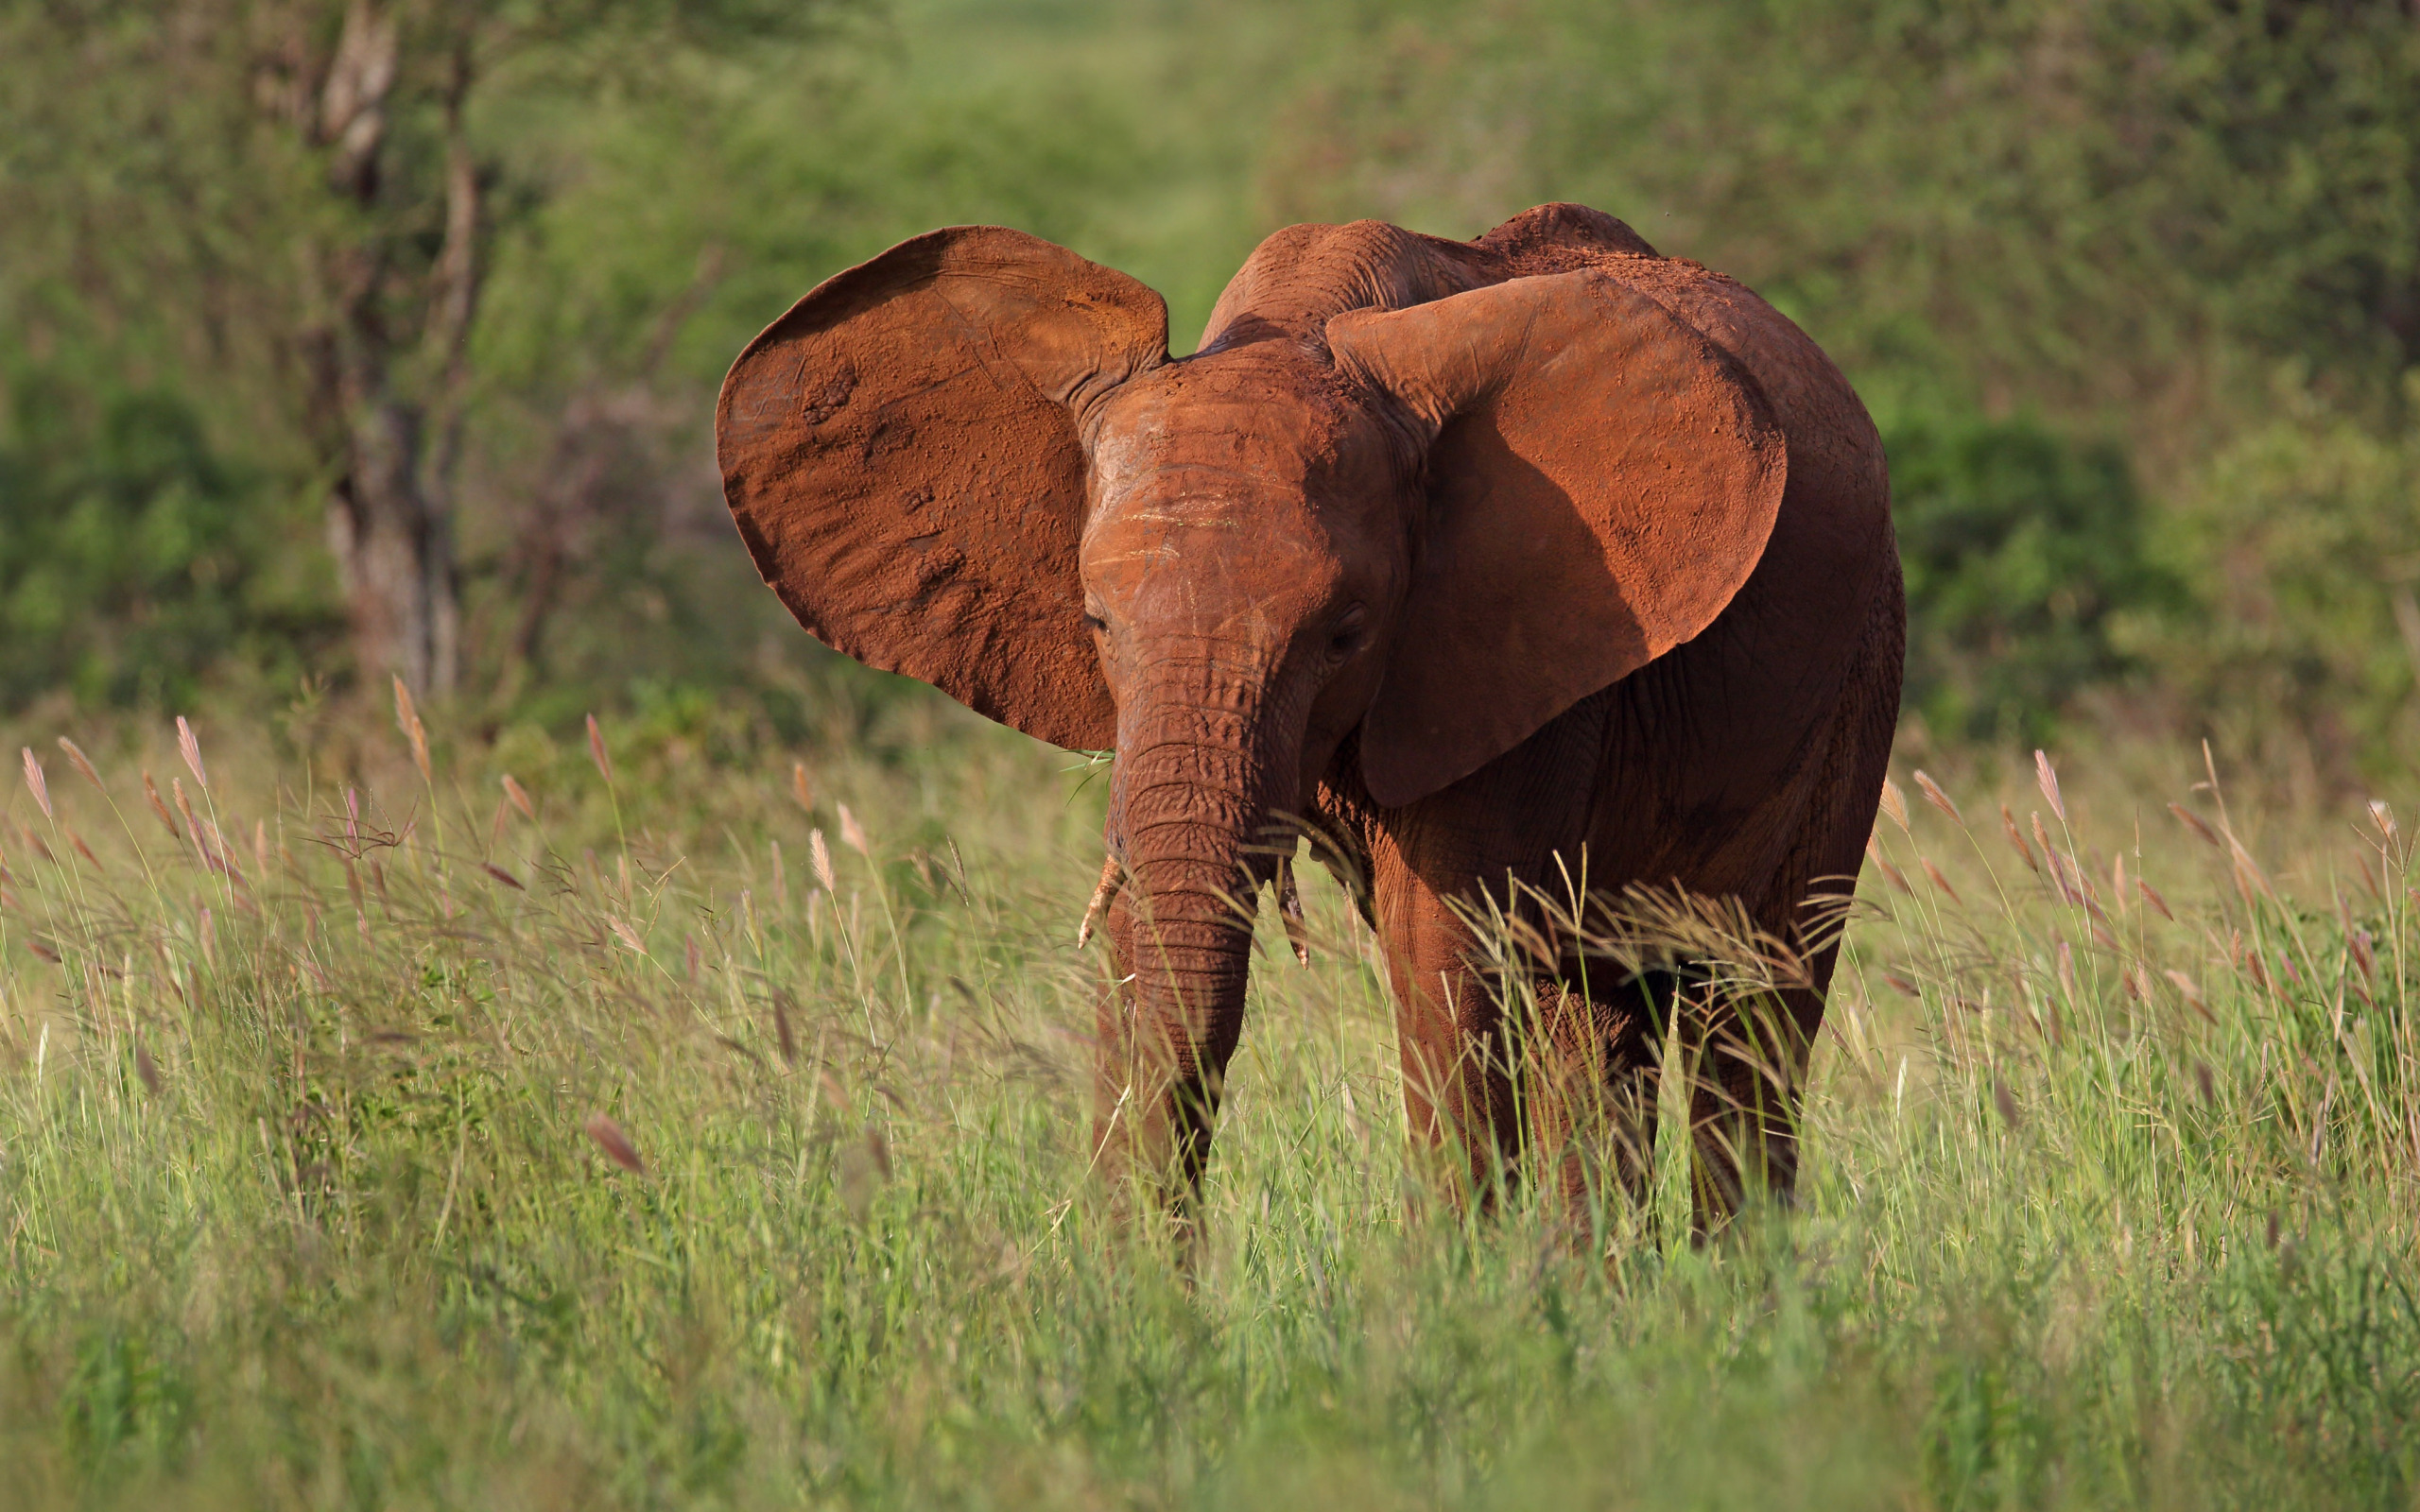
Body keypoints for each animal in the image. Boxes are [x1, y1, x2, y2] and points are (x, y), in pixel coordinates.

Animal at [716, 203, 1907, 1238]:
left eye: (1344, 633)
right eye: (1097, 621)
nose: (1166, 1296)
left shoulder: (1524, 655)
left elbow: (1444, 954)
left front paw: (1462, 1303)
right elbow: (1150, 929)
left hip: (1858, 681)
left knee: (1746, 1009)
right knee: (1600, 1016)